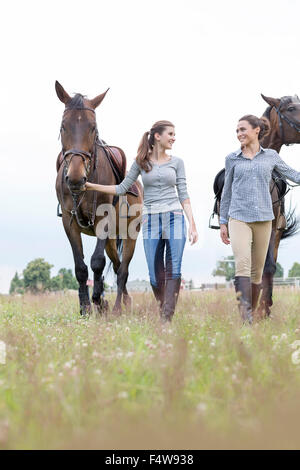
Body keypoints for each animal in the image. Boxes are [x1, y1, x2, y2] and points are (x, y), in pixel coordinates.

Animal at [54, 81, 143, 316]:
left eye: (93, 127)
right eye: (63, 126)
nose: (76, 178)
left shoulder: (104, 219)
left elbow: (96, 262)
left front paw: (98, 300)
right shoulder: (69, 222)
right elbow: (80, 267)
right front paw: (86, 306)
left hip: (130, 235)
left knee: (122, 270)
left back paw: (119, 306)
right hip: (112, 240)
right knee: (117, 264)